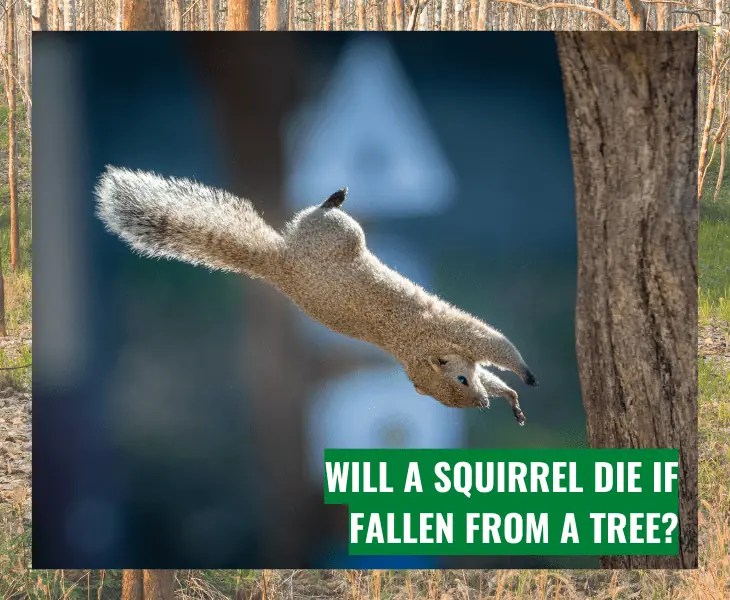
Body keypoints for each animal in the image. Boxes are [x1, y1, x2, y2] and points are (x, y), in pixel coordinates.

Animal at [95, 167, 538, 425]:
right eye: (455, 388)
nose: (481, 406)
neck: (417, 349)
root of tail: (280, 261)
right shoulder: (454, 333)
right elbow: (495, 346)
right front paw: (522, 380)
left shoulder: (457, 342)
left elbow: (493, 360)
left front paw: (515, 394)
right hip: (338, 233)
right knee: (322, 213)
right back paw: (334, 197)